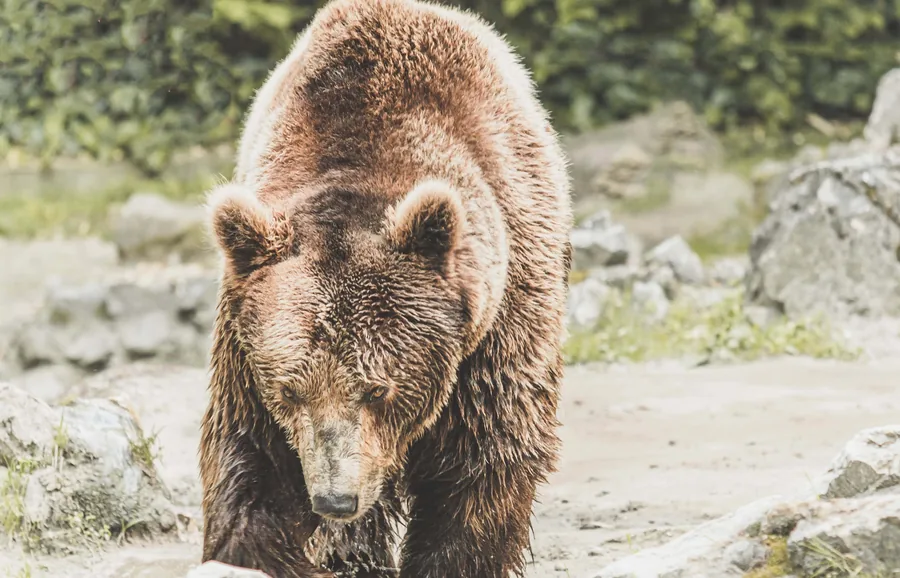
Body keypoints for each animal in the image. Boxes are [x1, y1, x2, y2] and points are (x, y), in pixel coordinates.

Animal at [197, 0, 573, 577]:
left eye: (379, 388)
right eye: (289, 389)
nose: (335, 499)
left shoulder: (499, 324)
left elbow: (483, 461)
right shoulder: (246, 347)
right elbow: (253, 465)